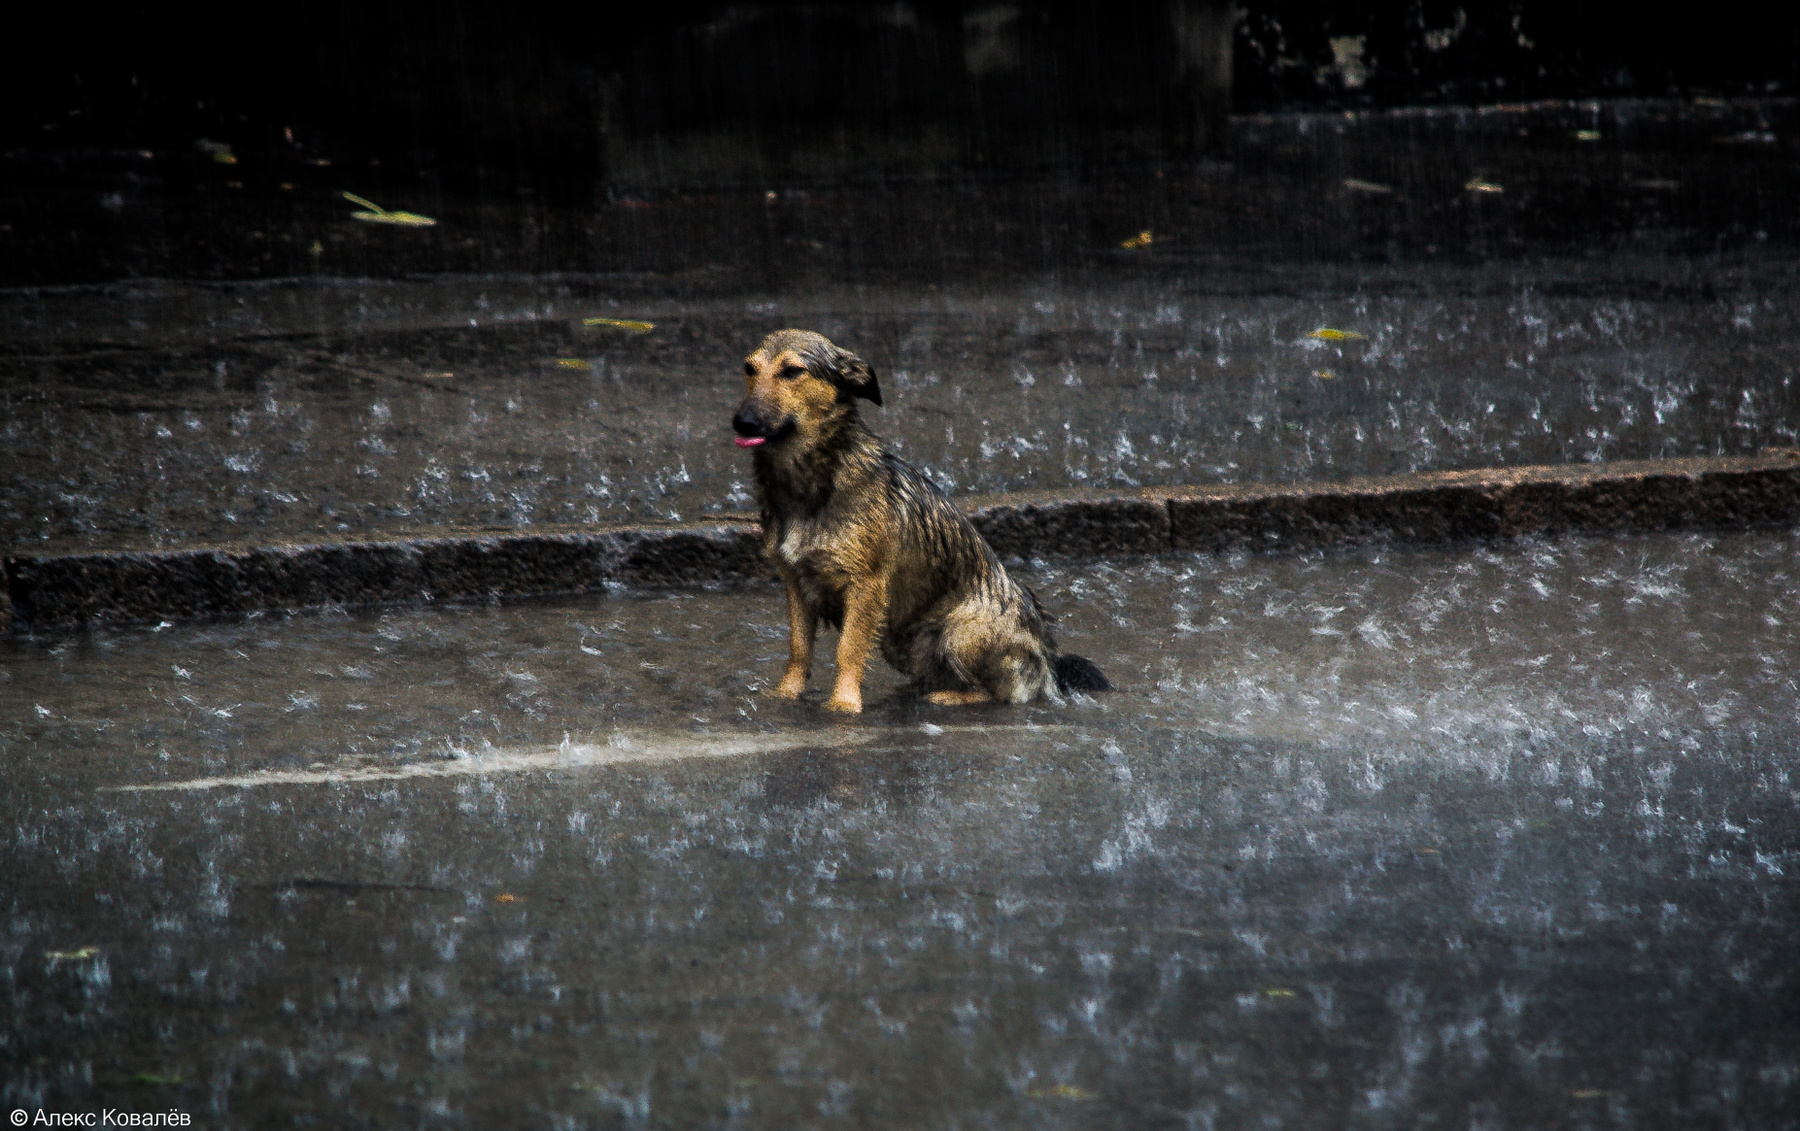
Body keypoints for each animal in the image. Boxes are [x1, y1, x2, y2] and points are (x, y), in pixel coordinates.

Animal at [734, 329, 1108, 716]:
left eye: (793, 371)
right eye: (749, 369)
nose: (742, 422)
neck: (811, 478)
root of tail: (1049, 665)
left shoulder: (866, 586)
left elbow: (847, 650)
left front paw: (843, 703)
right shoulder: (794, 583)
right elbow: (798, 649)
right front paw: (786, 694)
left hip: (961, 630)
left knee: (1001, 693)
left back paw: (947, 698)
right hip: (899, 639)